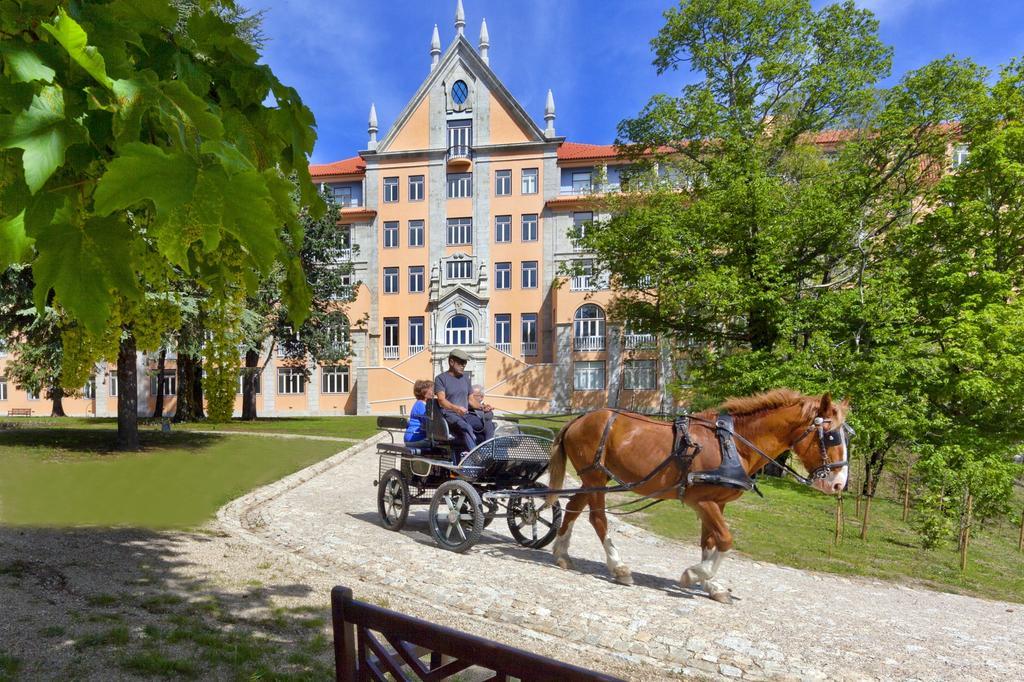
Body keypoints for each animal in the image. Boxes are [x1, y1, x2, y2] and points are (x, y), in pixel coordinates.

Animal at [548, 387, 851, 602]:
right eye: (831, 437)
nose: (838, 484)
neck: (734, 445)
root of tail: (579, 419)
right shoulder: (702, 501)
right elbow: (725, 540)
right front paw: (696, 574)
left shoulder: (717, 503)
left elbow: (710, 542)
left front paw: (711, 584)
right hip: (595, 477)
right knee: (598, 519)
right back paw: (619, 567)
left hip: (592, 479)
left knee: (573, 507)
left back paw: (561, 553)